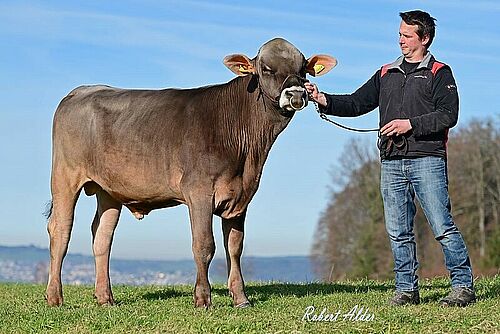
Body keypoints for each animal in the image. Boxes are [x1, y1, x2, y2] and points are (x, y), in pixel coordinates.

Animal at [46, 37, 336, 306]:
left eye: (303, 69)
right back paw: (55, 297)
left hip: (109, 190)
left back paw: (105, 298)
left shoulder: (242, 196)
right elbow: (204, 244)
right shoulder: (199, 191)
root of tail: (82, 90)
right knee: (60, 229)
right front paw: (203, 298)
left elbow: (235, 247)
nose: (296, 95)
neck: (248, 153)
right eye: (266, 68)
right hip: (65, 176)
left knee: (102, 236)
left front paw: (240, 298)